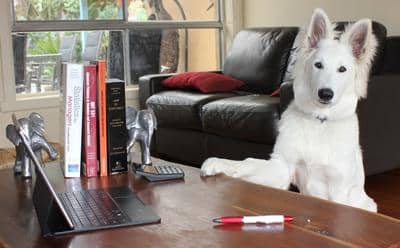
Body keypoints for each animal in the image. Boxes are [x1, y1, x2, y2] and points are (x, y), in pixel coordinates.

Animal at [203, 8, 378, 212]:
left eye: (342, 69)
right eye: (318, 65)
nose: (326, 94)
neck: (319, 121)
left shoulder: (338, 189)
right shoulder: (282, 169)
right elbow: (248, 162)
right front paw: (218, 163)